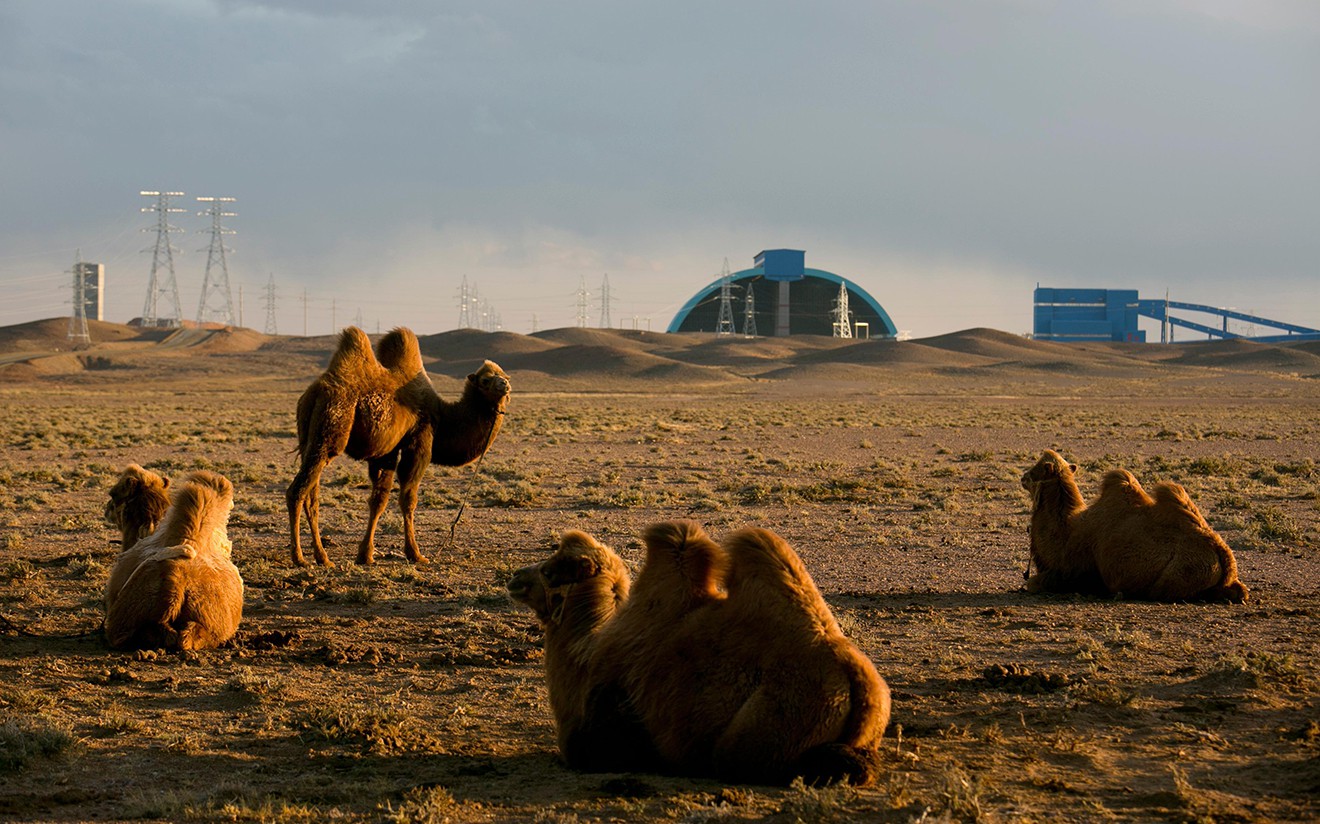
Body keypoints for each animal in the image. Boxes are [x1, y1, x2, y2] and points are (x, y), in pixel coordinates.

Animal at [285, 326, 509, 565]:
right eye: (485, 380)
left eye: (504, 376)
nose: (504, 385)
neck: (442, 415)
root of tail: (314, 393)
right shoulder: (419, 442)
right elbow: (408, 499)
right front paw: (415, 554)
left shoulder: (387, 452)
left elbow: (379, 499)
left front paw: (366, 554)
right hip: (332, 425)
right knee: (297, 491)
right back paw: (299, 558)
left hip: (309, 436)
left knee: (311, 496)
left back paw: (322, 556)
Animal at [1019, 446, 1246, 602]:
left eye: (1036, 469)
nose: (1022, 477)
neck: (1067, 530)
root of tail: (1224, 555)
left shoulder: (1076, 575)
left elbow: (1032, 583)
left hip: (1175, 577)